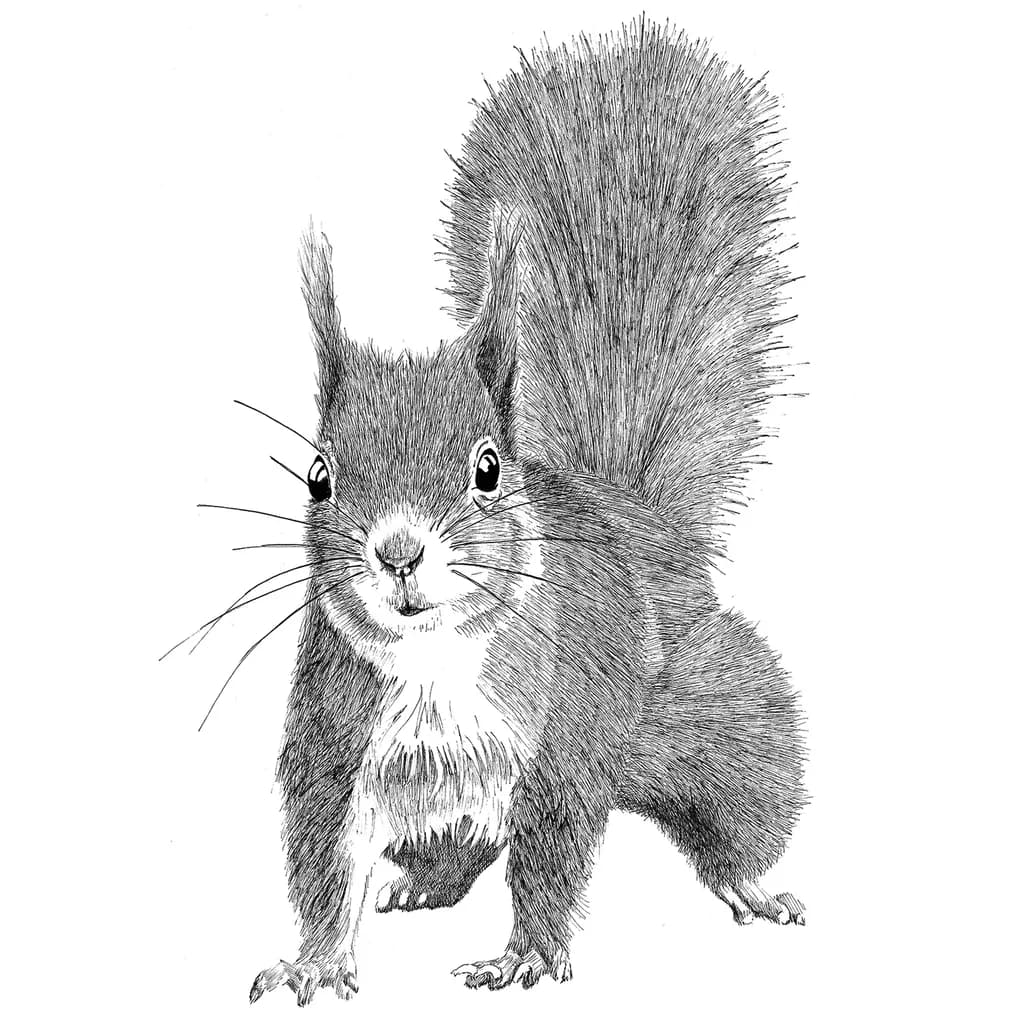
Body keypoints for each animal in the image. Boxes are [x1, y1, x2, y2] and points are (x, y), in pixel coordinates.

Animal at [247, 18, 806, 1005]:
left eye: (487, 469)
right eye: (317, 476)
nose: (398, 551)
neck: (433, 659)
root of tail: (637, 513)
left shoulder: (564, 726)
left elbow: (551, 849)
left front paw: (529, 957)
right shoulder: (334, 741)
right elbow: (321, 860)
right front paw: (313, 962)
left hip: (704, 706)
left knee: (744, 787)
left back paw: (748, 880)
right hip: (433, 801)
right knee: (454, 852)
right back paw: (412, 885)